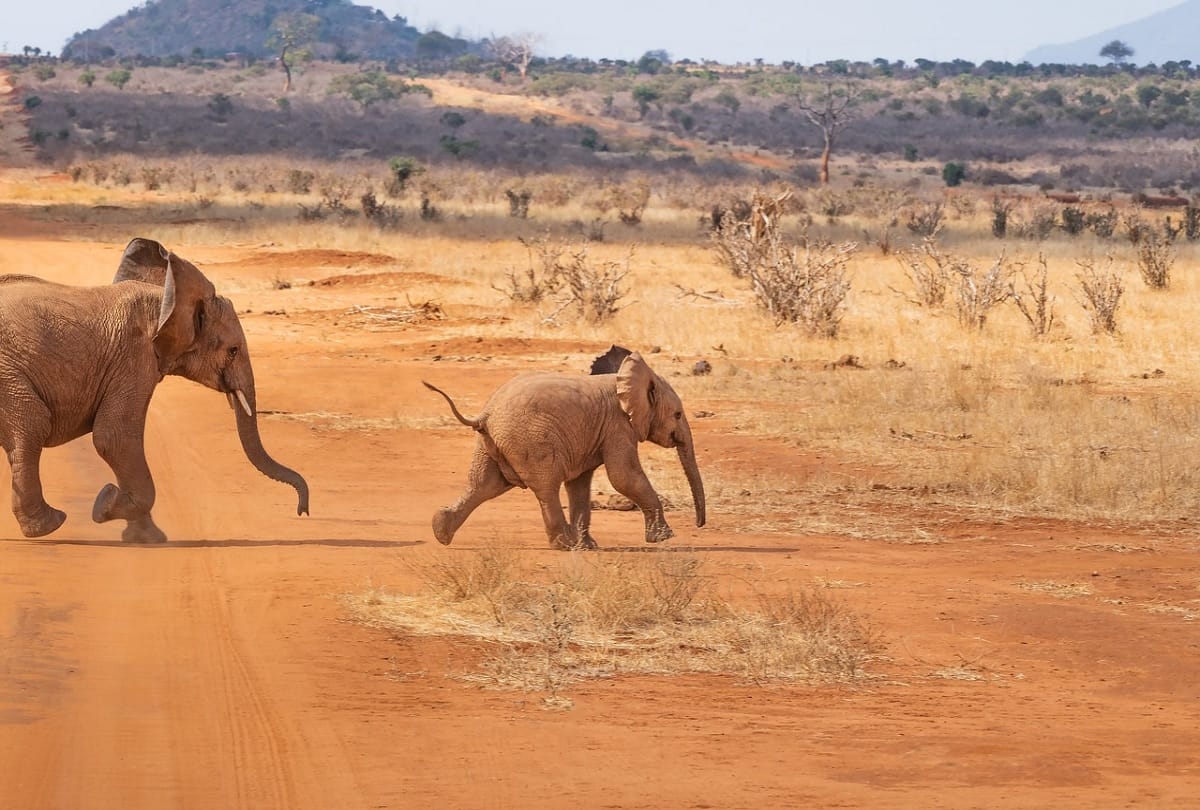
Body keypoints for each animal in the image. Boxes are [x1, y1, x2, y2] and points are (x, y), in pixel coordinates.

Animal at [0, 237, 309, 543]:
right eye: (233, 351)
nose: (302, 511)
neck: (166, 299)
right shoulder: (134, 356)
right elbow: (115, 437)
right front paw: (105, 505)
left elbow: (117, 440)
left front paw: (145, 537)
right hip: (8, 374)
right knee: (33, 424)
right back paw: (49, 524)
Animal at [424, 345, 705, 550]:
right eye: (678, 414)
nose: (699, 525)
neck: (626, 378)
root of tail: (485, 415)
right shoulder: (618, 426)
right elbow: (623, 477)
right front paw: (666, 538)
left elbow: (580, 485)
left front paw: (589, 547)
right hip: (531, 441)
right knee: (546, 488)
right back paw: (564, 544)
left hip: (492, 443)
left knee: (483, 486)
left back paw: (441, 532)